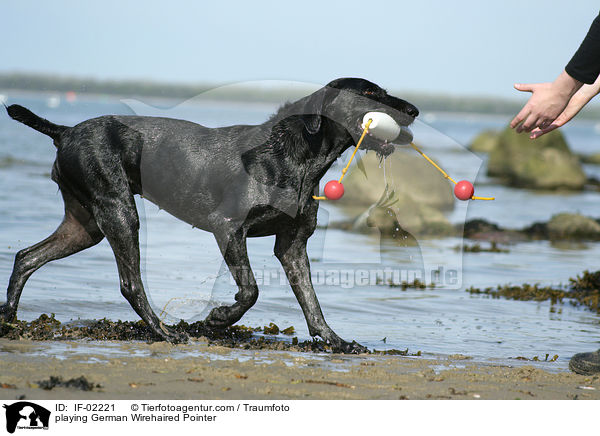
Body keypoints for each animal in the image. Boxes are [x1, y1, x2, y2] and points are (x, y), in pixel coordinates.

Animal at [2, 76, 420, 352]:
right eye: (370, 93)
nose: (414, 110)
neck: (296, 156)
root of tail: (64, 131)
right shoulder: (229, 227)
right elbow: (250, 289)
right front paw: (217, 318)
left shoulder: (292, 244)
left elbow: (312, 303)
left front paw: (337, 341)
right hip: (118, 211)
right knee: (130, 283)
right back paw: (166, 332)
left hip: (85, 225)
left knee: (26, 257)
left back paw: (8, 320)